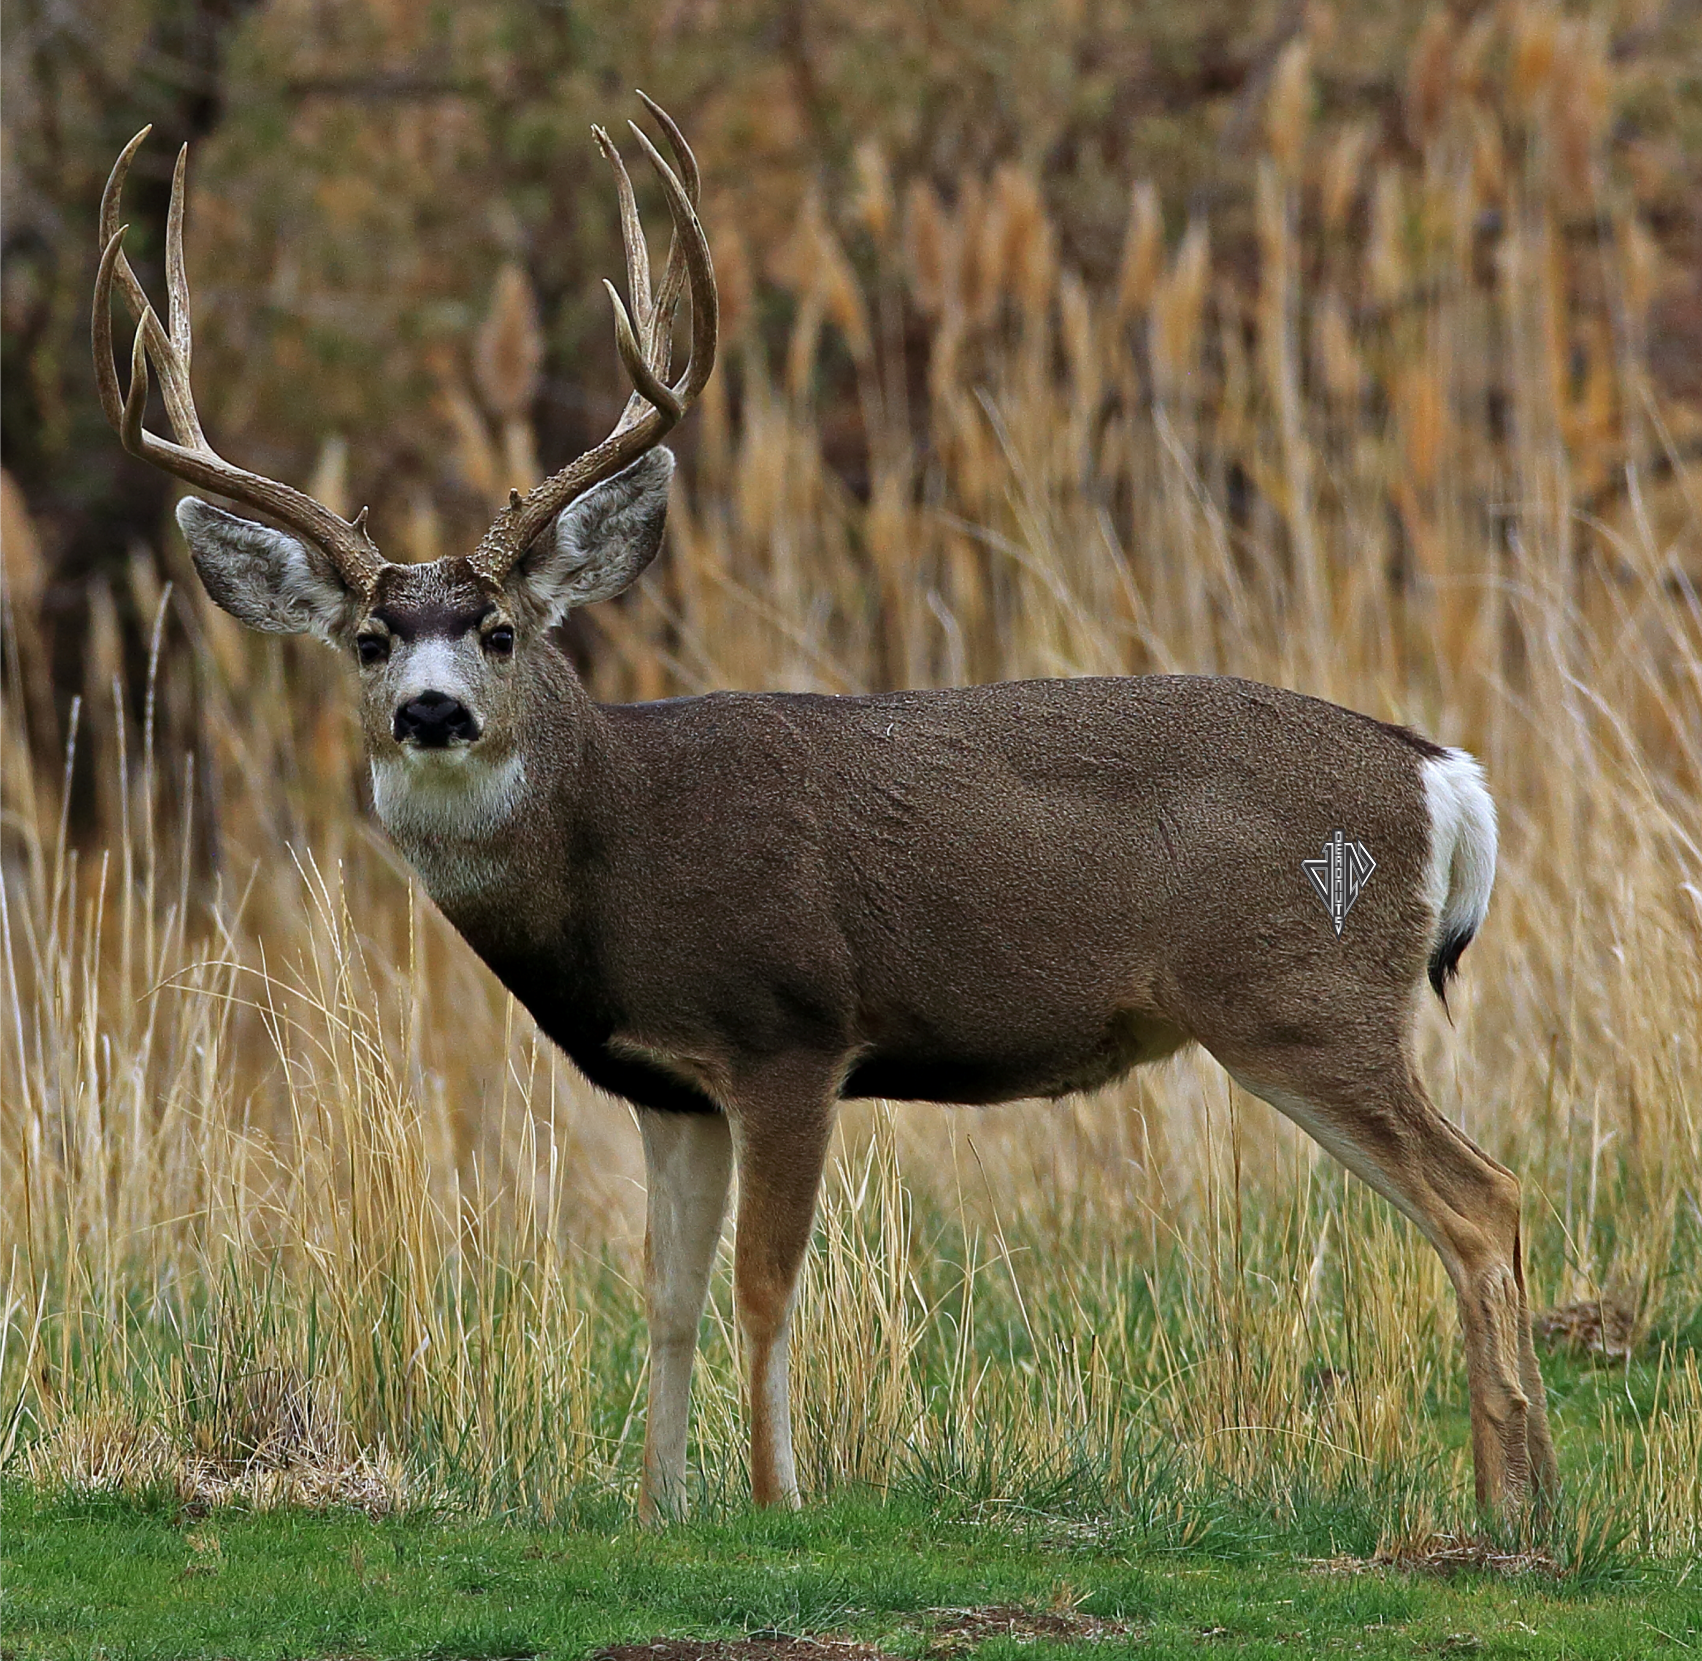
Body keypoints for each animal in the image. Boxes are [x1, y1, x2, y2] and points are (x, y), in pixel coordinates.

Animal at [96, 103, 1559, 1524]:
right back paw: (1527, 1496)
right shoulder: (663, 1080)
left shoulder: (789, 1027)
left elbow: (763, 1284)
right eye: (366, 640)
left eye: (500, 631)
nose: (434, 711)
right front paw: (658, 1507)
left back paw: (1509, 1511)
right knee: (1483, 1199)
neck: (618, 846)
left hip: (1300, 994)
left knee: (1480, 1197)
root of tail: (1442, 775)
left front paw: (774, 1497)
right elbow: (665, 1296)